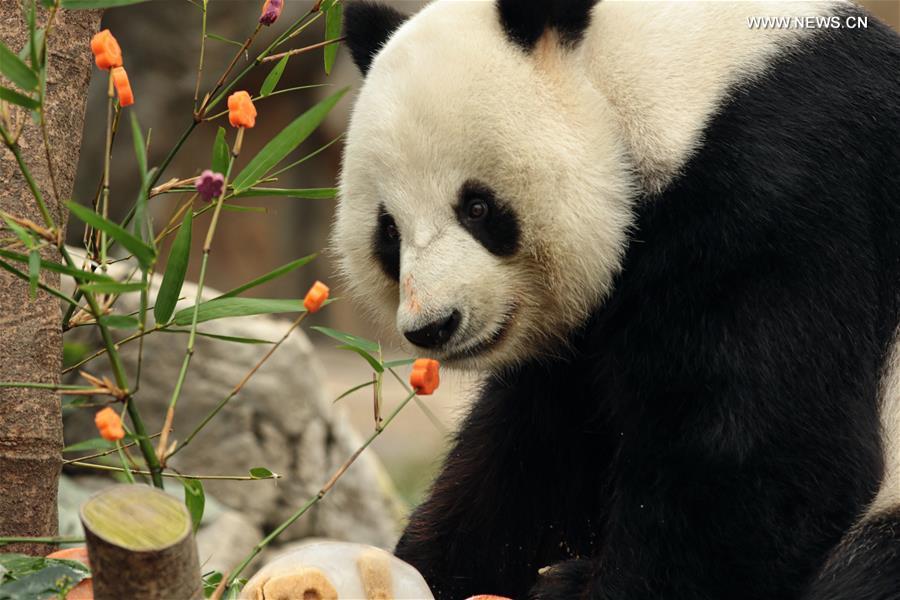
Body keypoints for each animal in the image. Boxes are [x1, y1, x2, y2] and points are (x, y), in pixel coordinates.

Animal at [332, 0, 900, 598]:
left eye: (478, 208)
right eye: (388, 232)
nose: (434, 325)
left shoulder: (780, 192)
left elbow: (764, 455)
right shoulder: (581, 336)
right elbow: (527, 457)